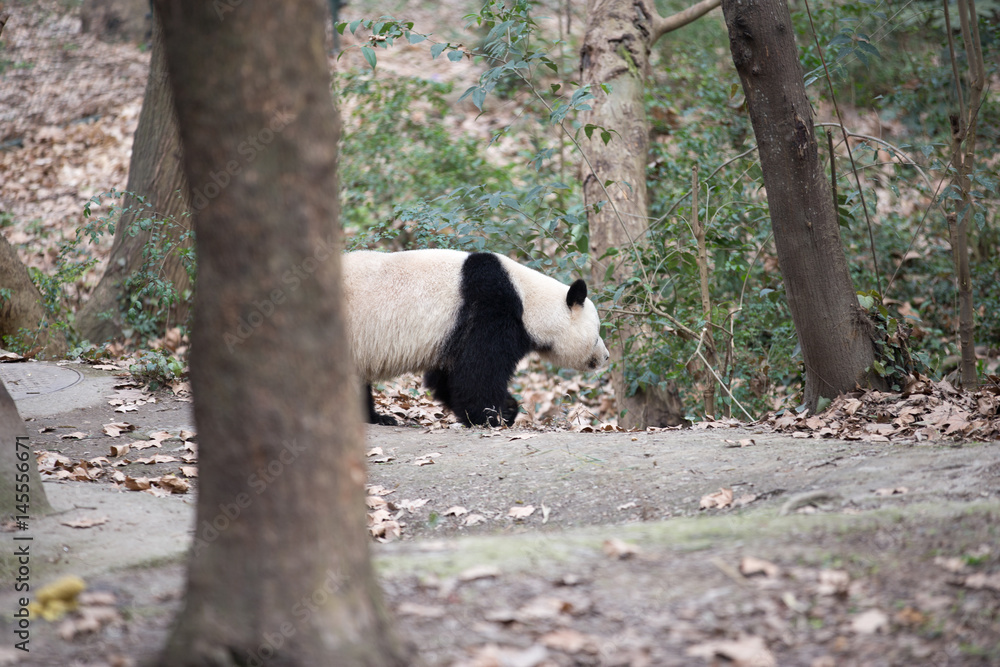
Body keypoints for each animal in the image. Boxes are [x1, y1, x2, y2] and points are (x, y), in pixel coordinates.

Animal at [344, 250, 608, 428]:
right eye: (597, 334)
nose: (605, 357)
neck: (528, 299)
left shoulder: (454, 332)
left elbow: (447, 377)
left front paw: (506, 408)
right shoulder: (490, 311)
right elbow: (478, 371)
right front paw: (492, 416)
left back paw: (377, 418)